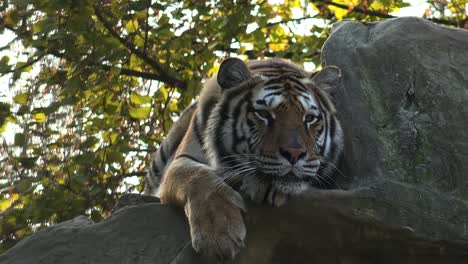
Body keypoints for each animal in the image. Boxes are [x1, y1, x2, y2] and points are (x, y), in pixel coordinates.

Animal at [145, 57, 344, 260]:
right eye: (263, 114)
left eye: (310, 118)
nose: (294, 153)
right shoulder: (181, 161)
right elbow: (198, 178)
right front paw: (219, 235)